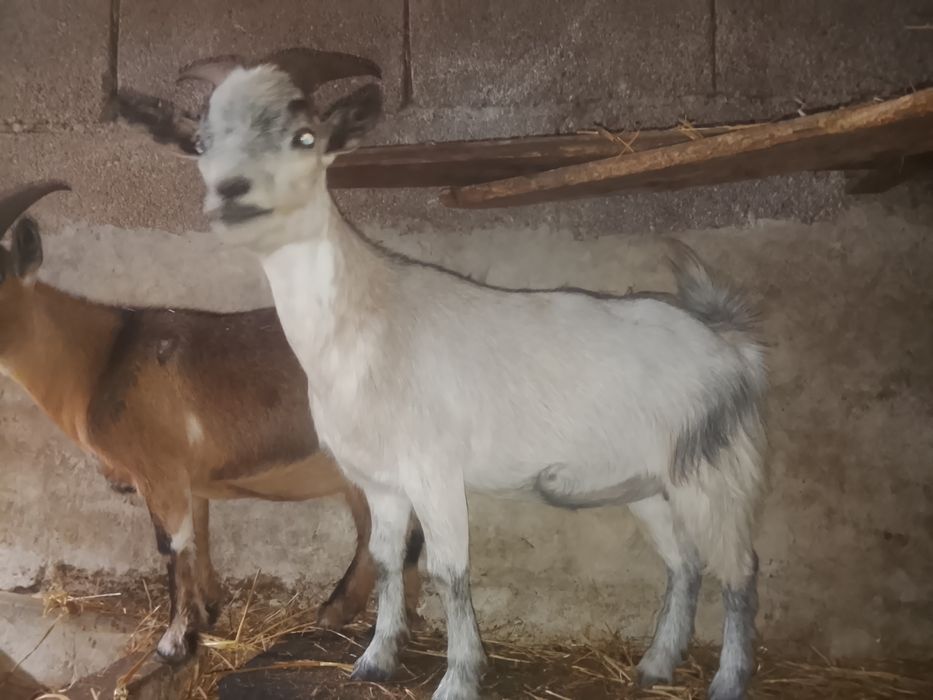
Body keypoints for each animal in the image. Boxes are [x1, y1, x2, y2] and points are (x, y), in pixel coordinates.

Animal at [0, 181, 424, 665]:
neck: (103, 359)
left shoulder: (159, 469)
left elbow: (172, 545)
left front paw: (173, 642)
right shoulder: (190, 479)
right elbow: (199, 537)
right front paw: (207, 613)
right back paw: (350, 615)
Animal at [122, 48, 768, 700]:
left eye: (304, 137)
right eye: (202, 142)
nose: (232, 191)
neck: (368, 321)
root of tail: (729, 343)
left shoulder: (434, 470)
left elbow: (448, 570)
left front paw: (458, 678)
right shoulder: (381, 481)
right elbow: (385, 560)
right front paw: (375, 660)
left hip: (712, 468)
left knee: (739, 570)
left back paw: (728, 680)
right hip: (648, 483)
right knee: (685, 563)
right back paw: (656, 665)